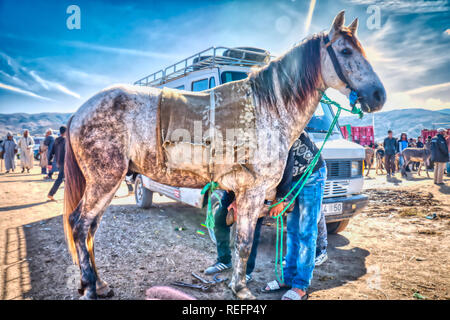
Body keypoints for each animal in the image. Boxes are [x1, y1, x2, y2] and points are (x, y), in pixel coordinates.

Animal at [63, 10, 386, 300]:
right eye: (345, 50)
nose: (378, 95)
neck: (268, 108)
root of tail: (79, 113)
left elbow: (249, 240)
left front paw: (237, 282)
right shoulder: (252, 193)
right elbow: (243, 243)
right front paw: (240, 289)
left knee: (90, 228)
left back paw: (100, 285)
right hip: (105, 180)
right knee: (80, 225)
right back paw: (90, 288)